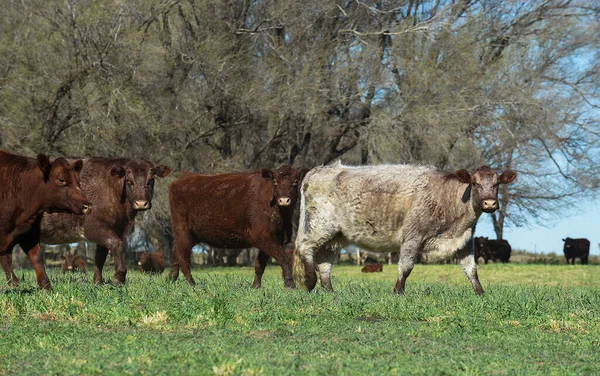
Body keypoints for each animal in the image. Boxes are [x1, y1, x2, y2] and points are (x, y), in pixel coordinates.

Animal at [0, 150, 91, 288]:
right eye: (61, 179)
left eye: (78, 181)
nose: (87, 206)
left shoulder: (29, 232)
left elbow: (36, 256)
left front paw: (46, 286)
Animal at [31, 158, 169, 284]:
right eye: (129, 181)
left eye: (151, 180)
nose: (141, 203)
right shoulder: (92, 228)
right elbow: (117, 245)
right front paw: (119, 277)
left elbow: (100, 257)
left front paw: (98, 282)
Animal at [169, 164, 310, 288]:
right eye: (275, 181)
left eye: (295, 182)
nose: (284, 200)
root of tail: (185, 177)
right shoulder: (262, 236)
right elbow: (283, 258)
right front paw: (290, 285)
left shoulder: (274, 238)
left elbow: (260, 264)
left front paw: (256, 286)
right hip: (183, 231)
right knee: (183, 258)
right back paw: (192, 284)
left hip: (192, 235)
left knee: (175, 252)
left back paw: (171, 279)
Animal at [292, 163, 516, 296]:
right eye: (475, 183)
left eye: (497, 184)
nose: (490, 203)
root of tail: (318, 170)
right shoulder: (412, 237)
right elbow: (406, 267)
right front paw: (398, 291)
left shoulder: (464, 241)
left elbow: (471, 270)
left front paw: (480, 293)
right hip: (319, 226)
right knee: (306, 248)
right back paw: (310, 282)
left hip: (336, 236)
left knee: (325, 262)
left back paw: (329, 290)